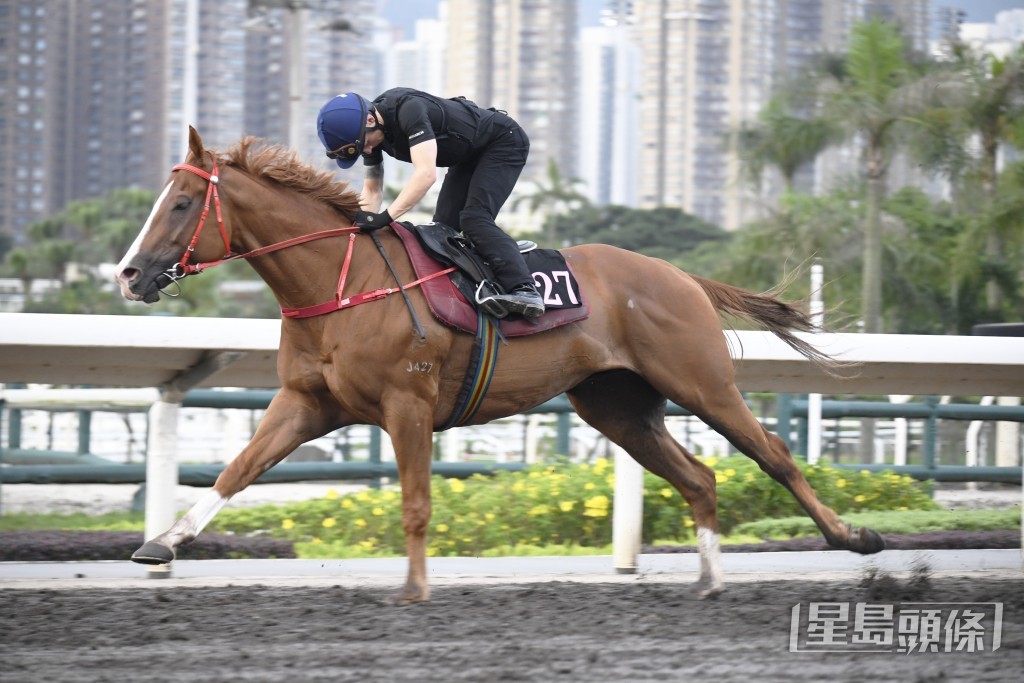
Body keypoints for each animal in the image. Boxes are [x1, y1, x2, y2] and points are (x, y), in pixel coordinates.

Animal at [115, 127, 884, 604]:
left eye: (181, 203)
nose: (129, 274)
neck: (342, 281)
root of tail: (682, 276)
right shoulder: (306, 402)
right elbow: (236, 471)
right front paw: (161, 544)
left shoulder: (408, 404)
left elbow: (416, 502)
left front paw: (415, 588)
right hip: (617, 407)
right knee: (699, 476)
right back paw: (712, 578)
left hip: (700, 382)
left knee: (774, 453)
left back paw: (853, 537)